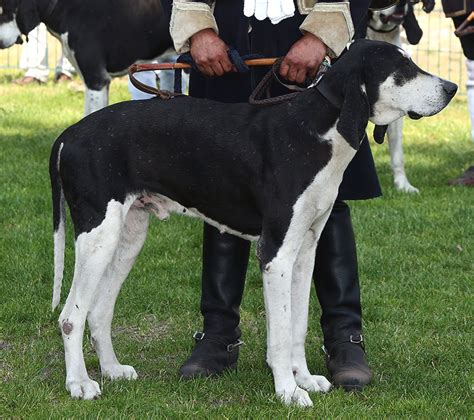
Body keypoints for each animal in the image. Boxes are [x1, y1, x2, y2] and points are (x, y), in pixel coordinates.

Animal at [49, 41, 456, 406]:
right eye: (401, 70)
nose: (451, 89)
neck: (316, 131)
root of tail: (70, 133)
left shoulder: (305, 251)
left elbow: (297, 324)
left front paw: (303, 378)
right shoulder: (275, 254)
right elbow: (280, 333)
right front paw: (288, 391)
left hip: (127, 239)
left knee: (98, 312)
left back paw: (112, 369)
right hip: (98, 238)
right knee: (70, 317)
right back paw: (79, 384)